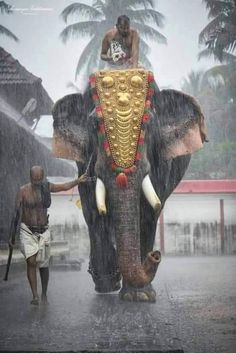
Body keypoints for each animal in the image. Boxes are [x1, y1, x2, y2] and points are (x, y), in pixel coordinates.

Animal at [51, 69, 206, 302]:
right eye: (95, 124)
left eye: (149, 124)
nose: (155, 255)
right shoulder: (85, 161)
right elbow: (94, 211)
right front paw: (109, 286)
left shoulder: (159, 162)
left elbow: (148, 213)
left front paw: (139, 296)